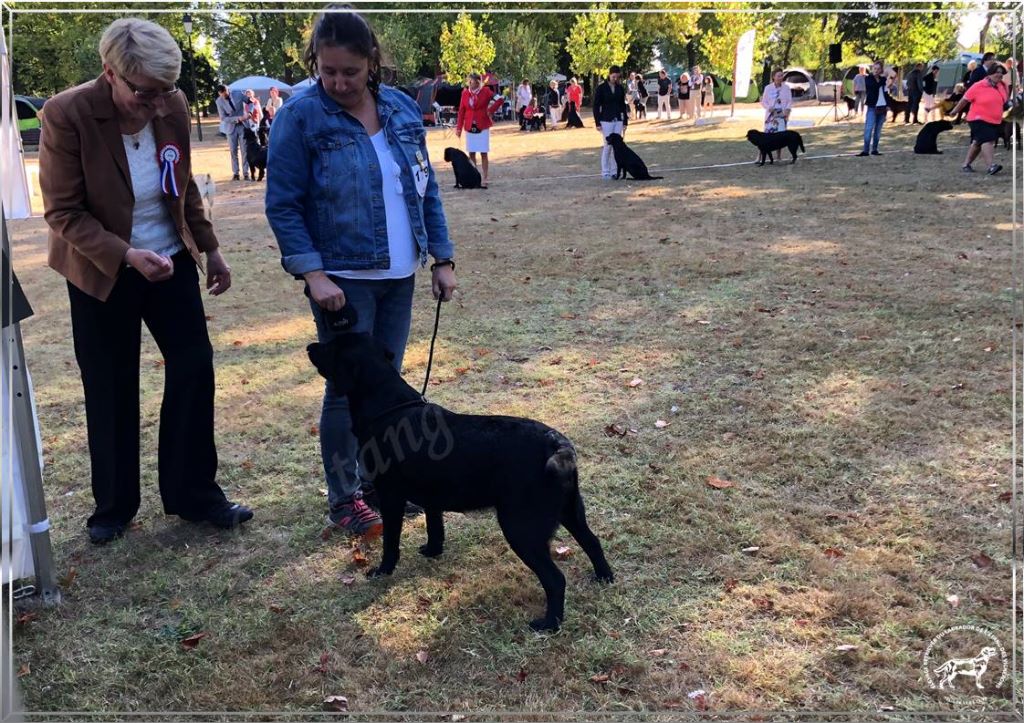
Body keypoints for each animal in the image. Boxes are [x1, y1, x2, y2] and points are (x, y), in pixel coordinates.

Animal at [305, 331, 614, 630]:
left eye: (334, 345)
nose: (309, 347)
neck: (389, 408)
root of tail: (557, 445)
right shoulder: (431, 498)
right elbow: (435, 528)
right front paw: (432, 551)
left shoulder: (391, 496)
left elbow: (391, 542)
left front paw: (383, 571)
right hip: (571, 511)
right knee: (593, 542)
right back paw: (604, 577)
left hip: (521, 528)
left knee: (555, 579)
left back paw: (550, 623)